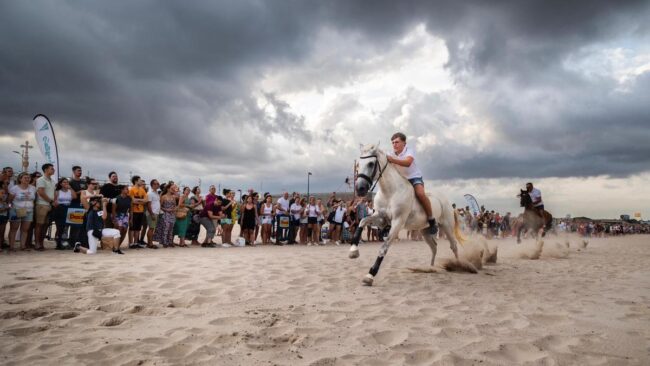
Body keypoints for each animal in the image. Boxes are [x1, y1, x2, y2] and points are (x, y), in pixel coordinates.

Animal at [346, 143, 464, 286]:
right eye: (358, 164)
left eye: (370, 163)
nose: (360, 189)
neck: (390, 192)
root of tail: (448, 202)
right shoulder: (381, 218)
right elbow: (363, 221)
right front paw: (353, 251)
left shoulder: (397, 222)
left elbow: (383, 248)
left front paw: (370, 275)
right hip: (424, 231)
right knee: (434, 247)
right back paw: (430, 268)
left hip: (447, 226)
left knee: (454, 245)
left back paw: (458, 265)